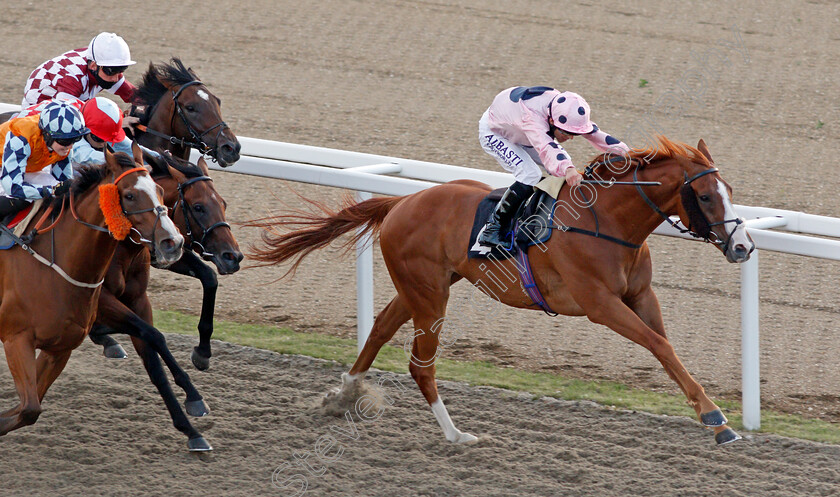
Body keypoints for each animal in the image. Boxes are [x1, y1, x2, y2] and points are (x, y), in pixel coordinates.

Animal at [0, 145, 184, 436]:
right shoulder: (16, 339)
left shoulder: (60, 348)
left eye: (159, 190)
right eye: (129, 195)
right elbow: (29, 408)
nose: (173, 242)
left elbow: (29, 407)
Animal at [248, 137, 756, 446]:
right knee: (420, 365)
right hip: (430, 294)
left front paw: (715, 418)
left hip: (422, 288)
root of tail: (402, 201)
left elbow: (667, 348)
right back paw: (455, 435)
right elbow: (658, 346)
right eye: (705, 196)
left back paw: (345, 395)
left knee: (378, 331)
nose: (744, 246)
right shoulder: (600, 305)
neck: (607, 223)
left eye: (730, 190)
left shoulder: (641, 297)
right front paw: (716, 420)